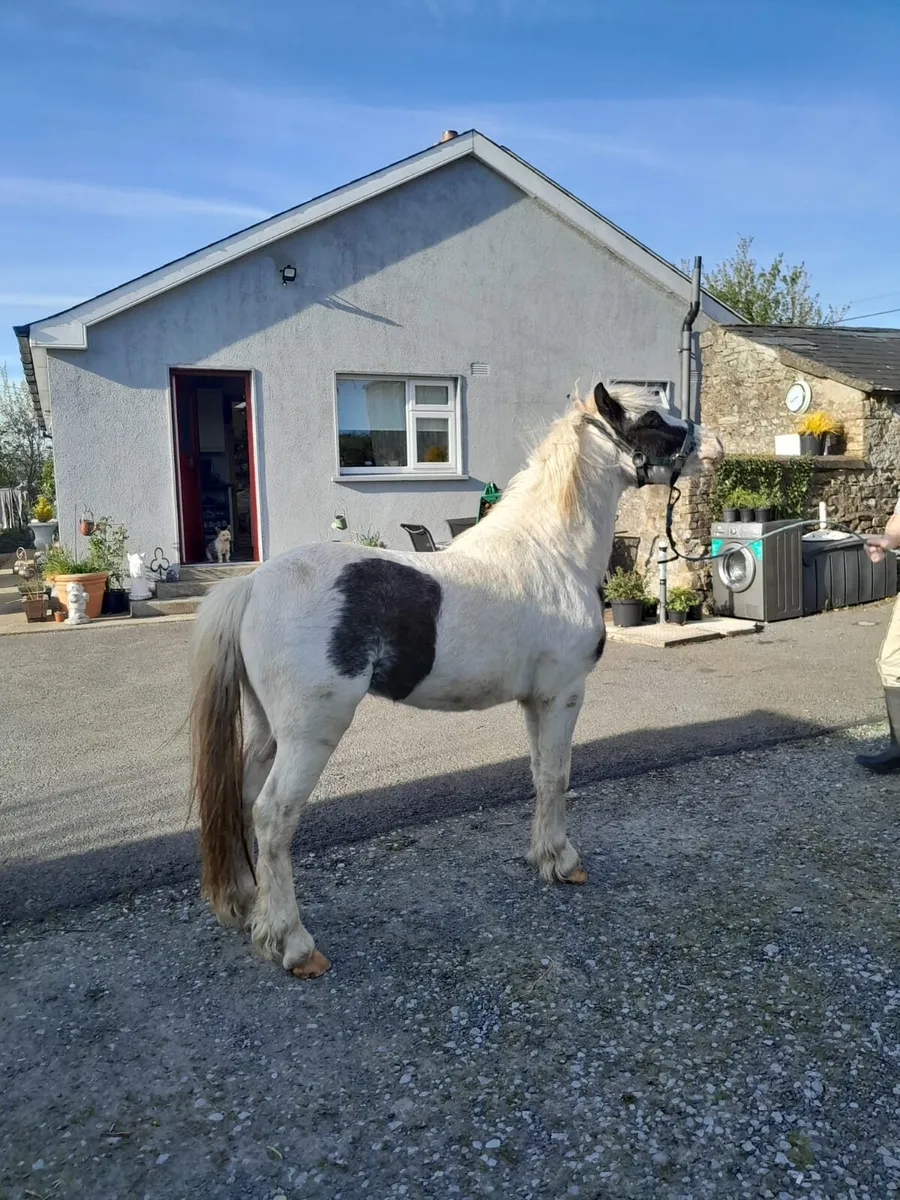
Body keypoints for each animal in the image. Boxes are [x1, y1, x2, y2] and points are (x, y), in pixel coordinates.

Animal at [188, 381, 722, 978]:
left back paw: (244, 905)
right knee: (273, 815)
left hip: (266, 729)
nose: (714, 447)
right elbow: (559, 776)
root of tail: (252, 585)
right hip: (310, 734)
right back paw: (293, 943)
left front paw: (543, 857)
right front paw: (564, 863)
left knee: (239, 799)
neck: (552, 554)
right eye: (652, 419)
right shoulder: (562, 695)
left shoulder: (534, 701)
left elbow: (541, 776)